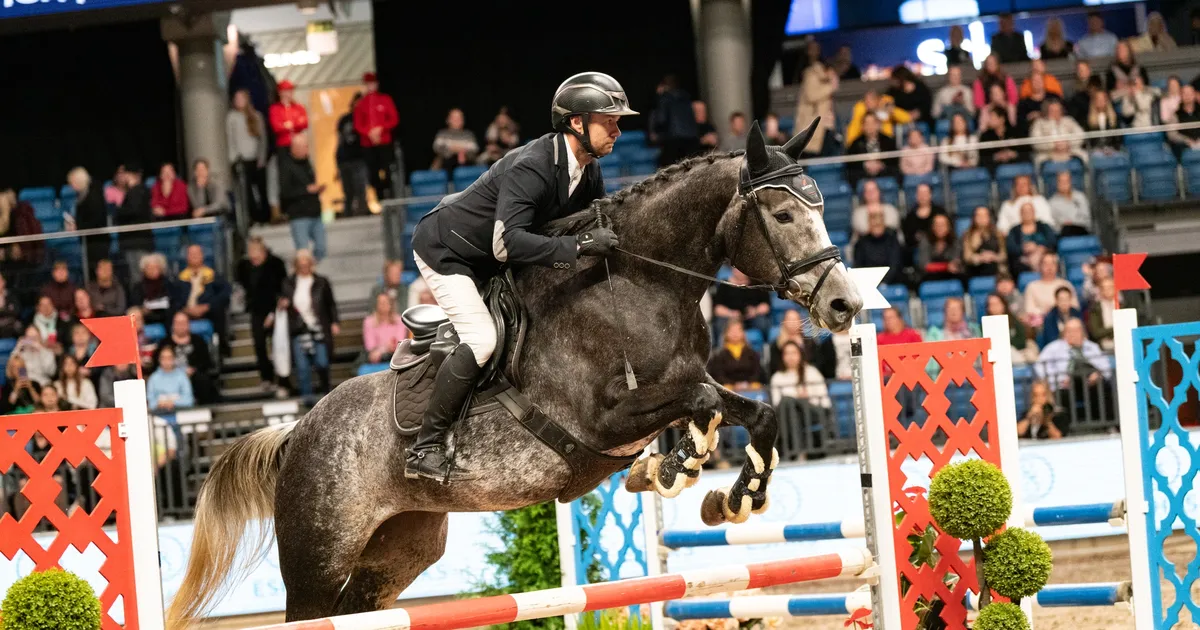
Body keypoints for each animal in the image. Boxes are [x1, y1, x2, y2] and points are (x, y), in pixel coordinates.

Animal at [166, 119, 864, 626]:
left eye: (820, 206)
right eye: (782, 216)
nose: (844, 305)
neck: (641, 281)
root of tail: (295, 434)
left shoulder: (682, 388)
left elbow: (751, 410)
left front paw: (727, 493)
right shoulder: (604, 420)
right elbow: (700, 401)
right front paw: (679, 468)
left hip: (397, 550)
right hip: (317, 557)